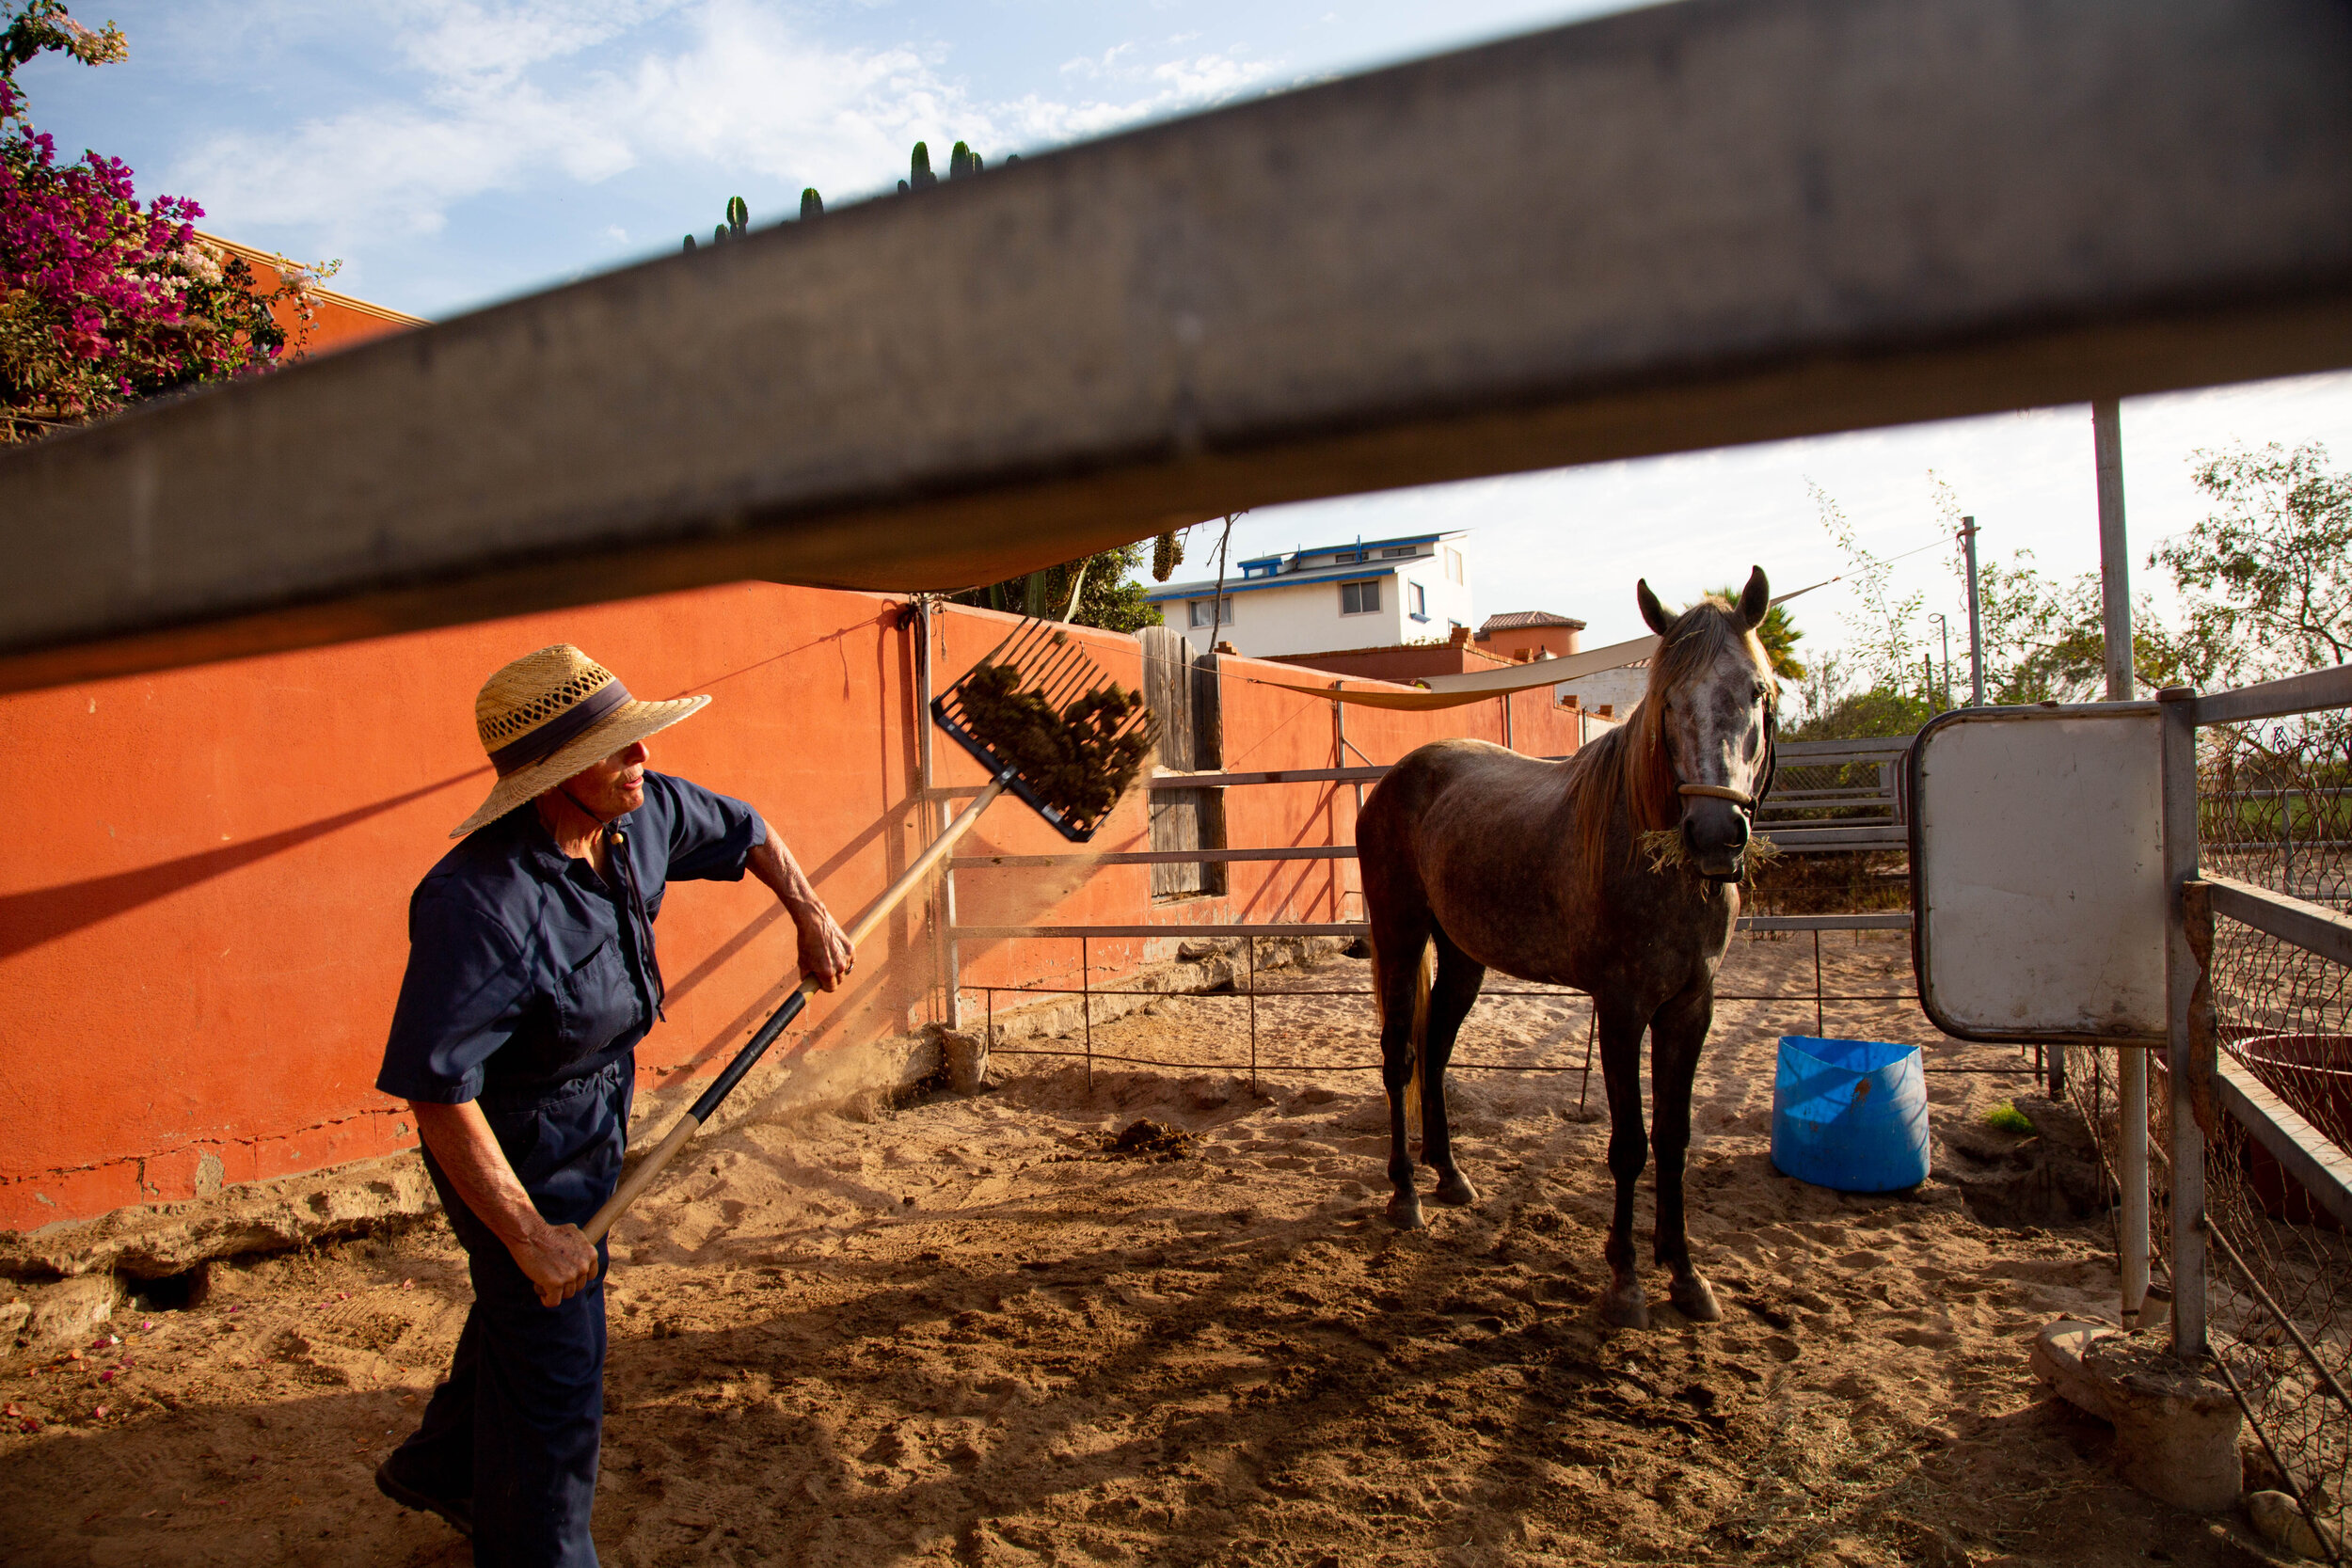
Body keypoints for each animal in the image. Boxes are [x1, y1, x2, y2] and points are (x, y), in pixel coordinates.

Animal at [1355, 571, 1769, 1335]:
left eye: (1756, 691)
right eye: (1668, 700)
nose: (1715, 832)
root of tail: (1398, 777)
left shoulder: (1690, 1008)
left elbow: (1674, 1136)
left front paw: (1685, 1274)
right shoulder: (1623, 1007)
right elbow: (1630, 1142)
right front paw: (1626, 1281)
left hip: (1463, 958)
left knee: (1436, 1054)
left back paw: (1449, 1175)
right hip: (1400, 936)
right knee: (1401, 1057)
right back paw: (1406, 1194)